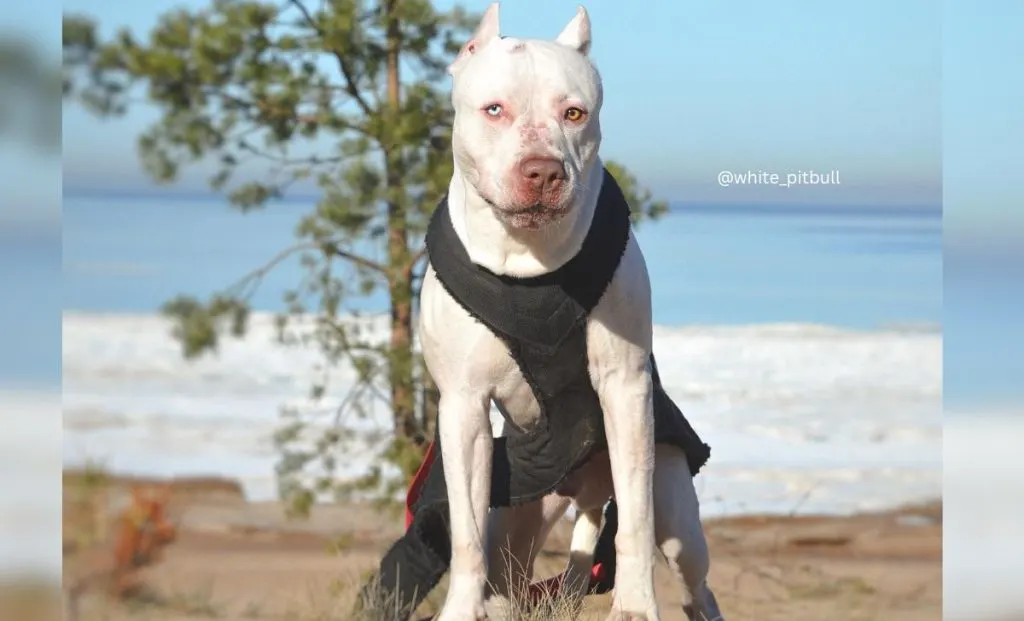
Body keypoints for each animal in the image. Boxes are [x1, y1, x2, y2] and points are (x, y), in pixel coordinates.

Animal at [415, 4, 720, 621]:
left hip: (679, 518)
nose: (542, 170)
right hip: (519, 518)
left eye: (574, 113)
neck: (526, 261)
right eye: (494, 109)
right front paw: (459, 606)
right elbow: (464, 533)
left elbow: (633, 521)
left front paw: (635, 604)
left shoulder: (624, 387)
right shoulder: (462, 405)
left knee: (694, 581)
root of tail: (583, 488)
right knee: (505, 571)